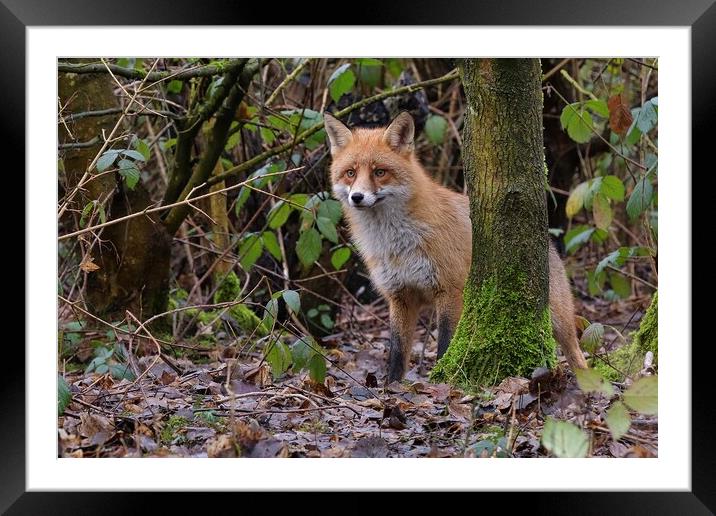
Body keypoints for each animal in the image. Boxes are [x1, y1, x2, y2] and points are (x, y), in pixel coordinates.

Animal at [324, 111, 588, 380]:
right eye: (350, 173)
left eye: (379, 172)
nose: (357, 197)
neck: (395, 243)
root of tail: (548, 241)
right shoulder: (400, 296)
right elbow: (397, 352)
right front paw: (391, 386)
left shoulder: (450, 290)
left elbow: (445, 344)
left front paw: (441, 380)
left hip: (557, 319)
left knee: (577, 355)